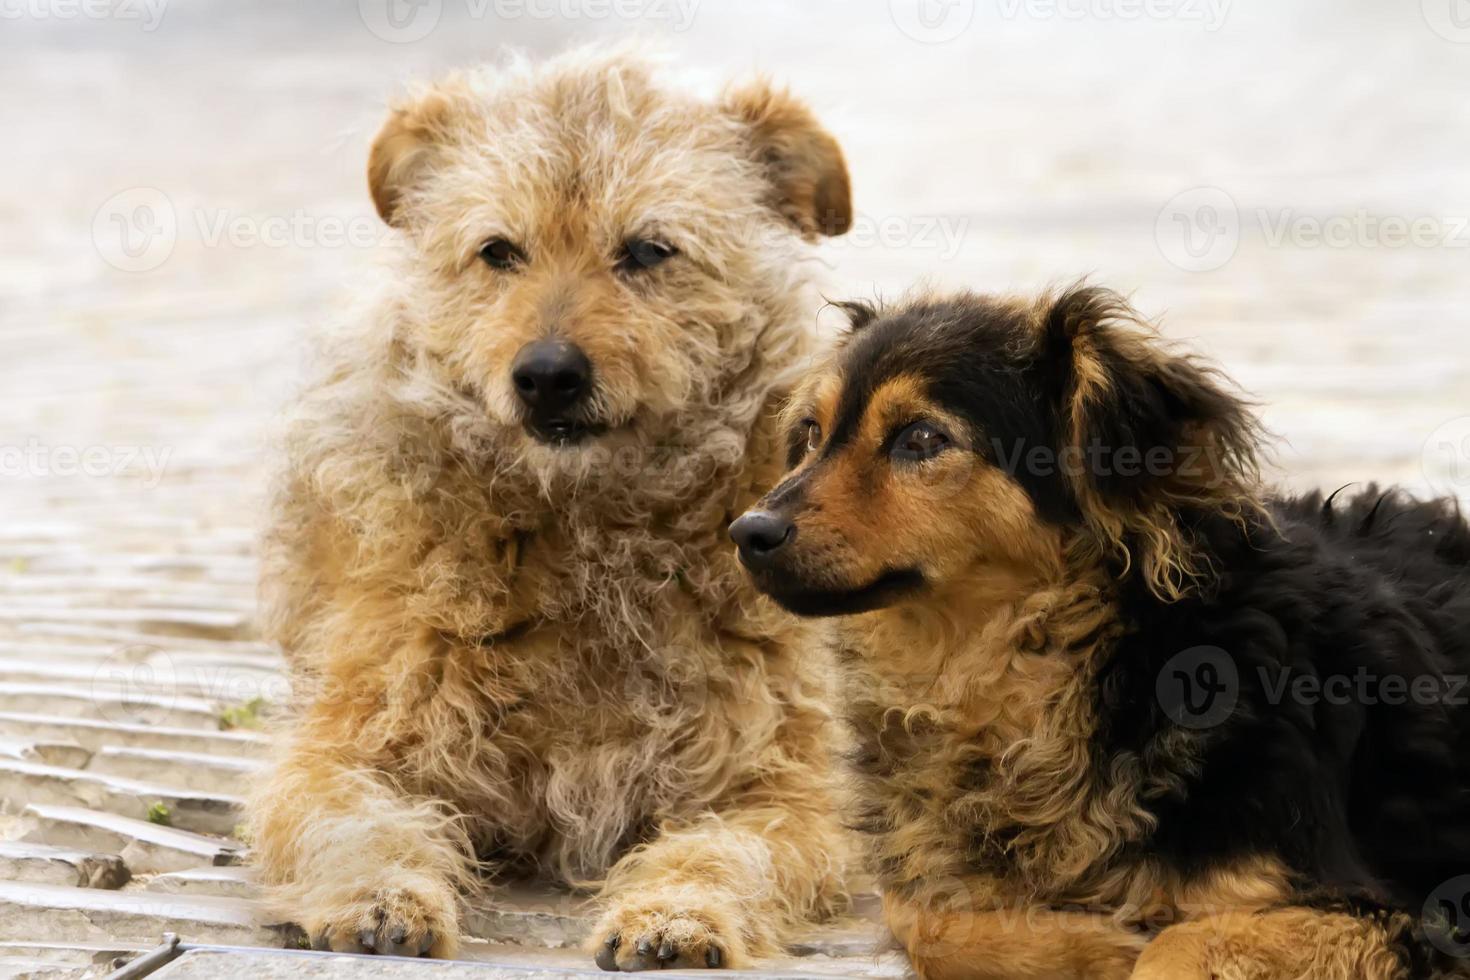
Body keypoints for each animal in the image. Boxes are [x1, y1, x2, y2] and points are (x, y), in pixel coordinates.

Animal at [248, 49, 858, 969]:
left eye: (648, 250)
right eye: (499, 251)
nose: (546, 375)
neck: (587, 531)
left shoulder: (780, 786)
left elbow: (723, 853)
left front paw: (677, 916)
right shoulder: (345, 749)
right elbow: (357, 828)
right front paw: (380, 897)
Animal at [726, 285, 1470, 980]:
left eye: (923, 439)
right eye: (812, 433)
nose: (748, 533)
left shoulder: (1407, 906)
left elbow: (1179, 946)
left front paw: (1132, 941)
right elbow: (923, 918)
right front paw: (1097, 944)